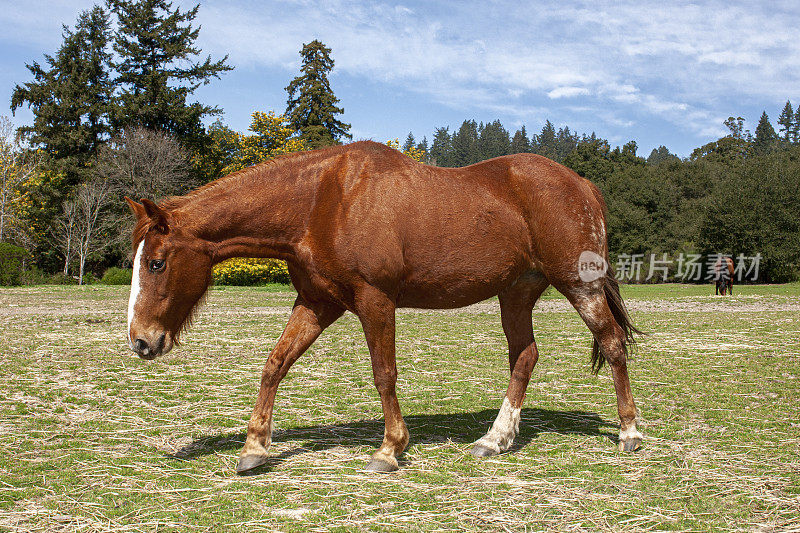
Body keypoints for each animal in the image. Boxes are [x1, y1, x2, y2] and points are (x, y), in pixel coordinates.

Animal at [123, 141, 644, 474]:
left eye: (156, 262)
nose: (141, 341)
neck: (323, 200)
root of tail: (581, 184)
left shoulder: (375, 300)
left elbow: (383, 373)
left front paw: (390, 449)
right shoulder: (317, 303)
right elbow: (275, 364)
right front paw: (255, 447)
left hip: (579, 286)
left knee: (613, 344)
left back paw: (629, 433)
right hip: (516, 292)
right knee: (525, 356)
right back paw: (494, 440)